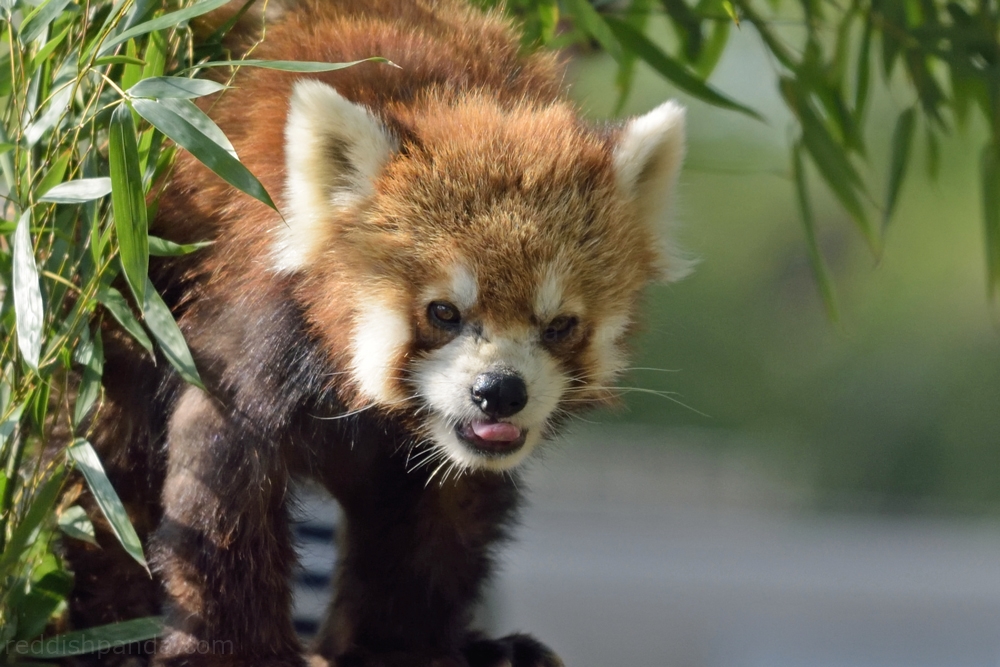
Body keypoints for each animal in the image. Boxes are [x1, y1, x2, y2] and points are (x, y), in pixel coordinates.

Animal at [62, 1, 688, 667]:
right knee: (103, 455)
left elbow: (434, 529)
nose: (499, 392)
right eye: (444, 312)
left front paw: (404, 647)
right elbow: (219, 492)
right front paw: (237, 651)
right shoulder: (246, 339)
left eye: (559, 325)